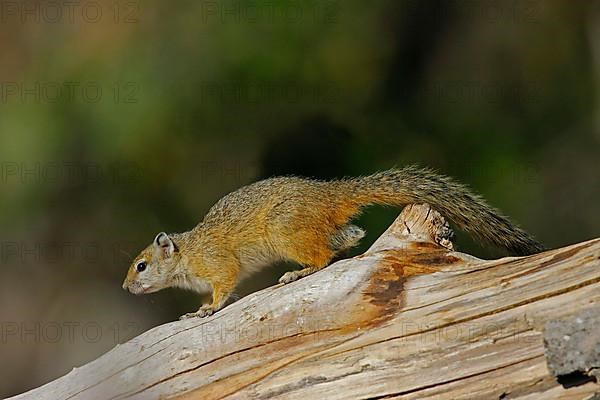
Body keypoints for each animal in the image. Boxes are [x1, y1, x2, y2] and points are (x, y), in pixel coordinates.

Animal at [122, 166, 544, 318]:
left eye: (141, 265)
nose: (126, 287)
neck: (187, 254)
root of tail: (328, 196)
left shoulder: (218, 263)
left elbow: (224, 286)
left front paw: (207, 309)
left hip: (285, 231)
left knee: (323, 256)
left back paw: (298, 272)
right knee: (349, 238)